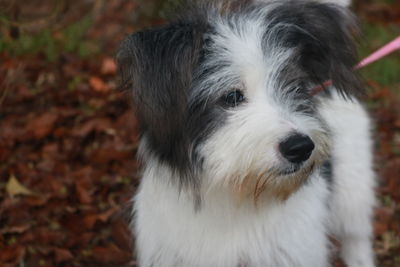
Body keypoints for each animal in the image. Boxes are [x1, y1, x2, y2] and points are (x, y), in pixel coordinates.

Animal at [117, 1, 376, 266]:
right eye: (232, 96)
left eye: (295, 87)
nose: (300, 148)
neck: (236, 199)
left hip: (352, 188)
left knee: (356, 236)